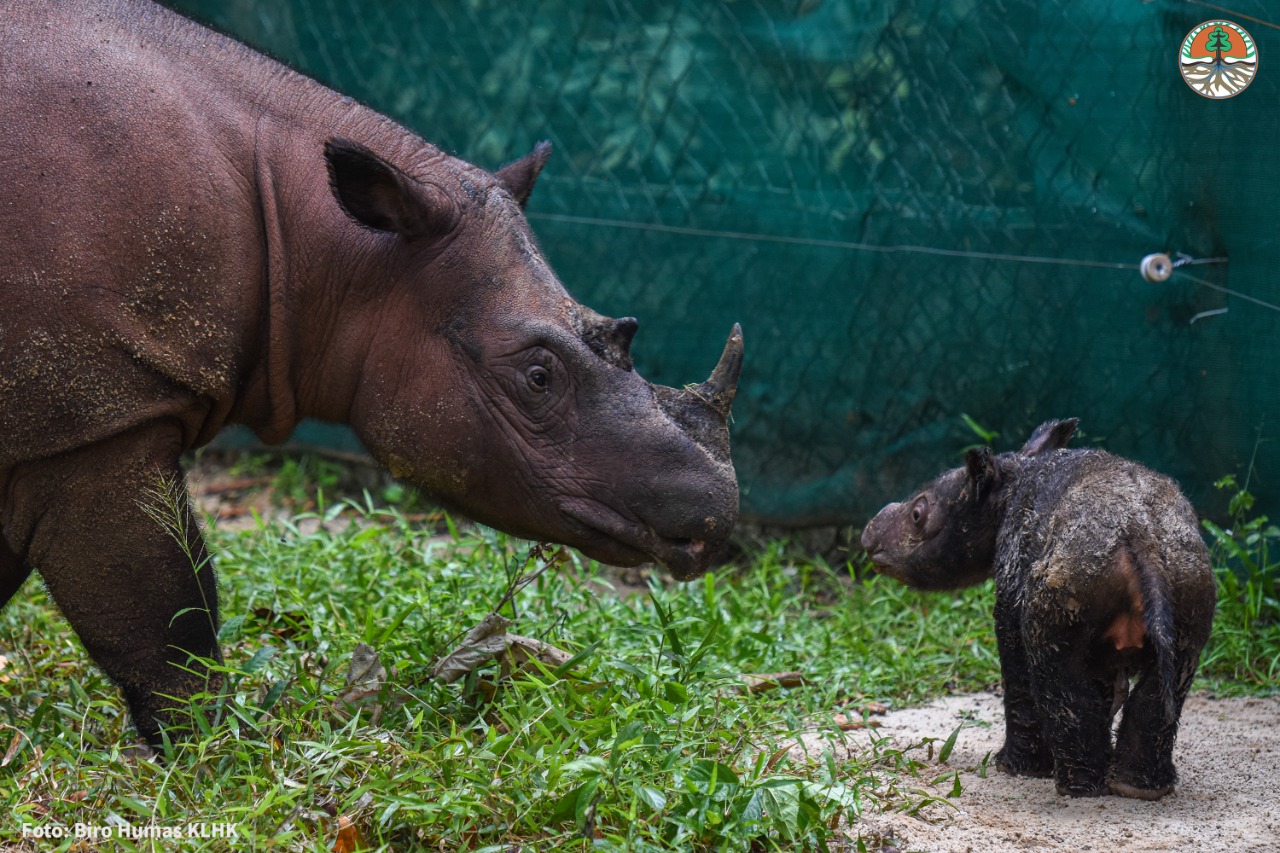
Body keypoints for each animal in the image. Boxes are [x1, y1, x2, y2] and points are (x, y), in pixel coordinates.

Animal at [865, 417, 1213, 799]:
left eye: (917, 514)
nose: (869, 533)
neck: (1009, 483)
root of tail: (1141, 539)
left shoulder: (1010, 596)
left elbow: (1018, 681)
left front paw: (1017, 768)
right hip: (1188, 583)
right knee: (1166, 683)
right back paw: (1139, 788)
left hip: (1068, 584)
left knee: (1057, 674)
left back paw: (1076, 787)